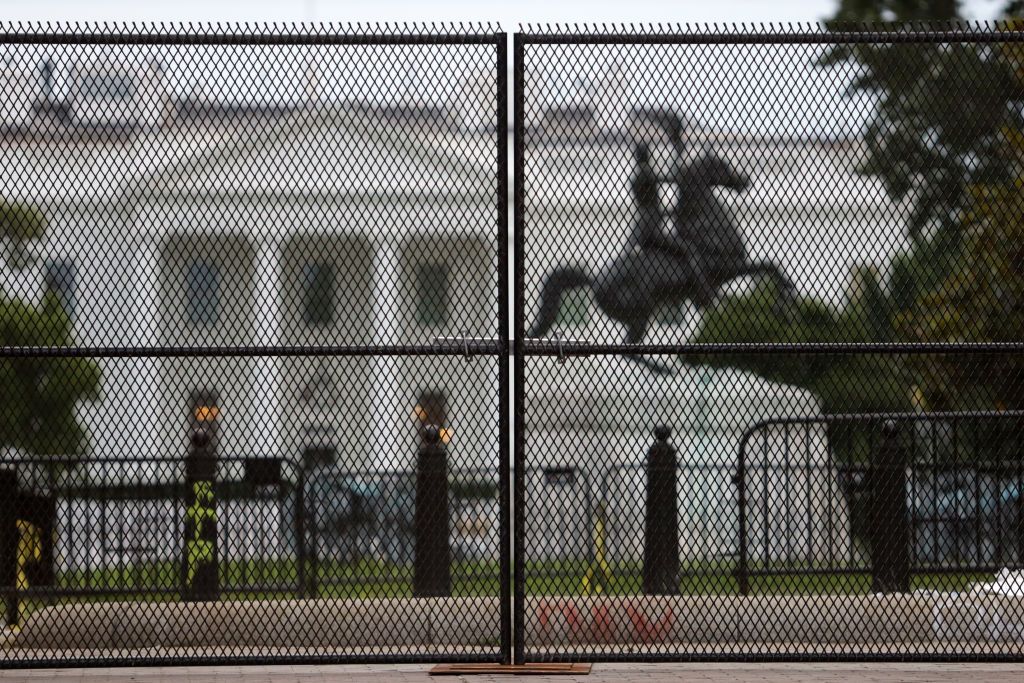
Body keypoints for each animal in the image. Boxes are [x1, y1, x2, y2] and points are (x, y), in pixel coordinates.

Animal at [524, 144, 794, 374]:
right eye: (722, 165)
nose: (744, 180)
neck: (707, 225)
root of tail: (595, 281)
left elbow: (766, 266)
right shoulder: (726, 267)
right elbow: (768, 265)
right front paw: (785, 298)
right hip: (641, 310)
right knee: (627, 348)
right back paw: (663, 369)